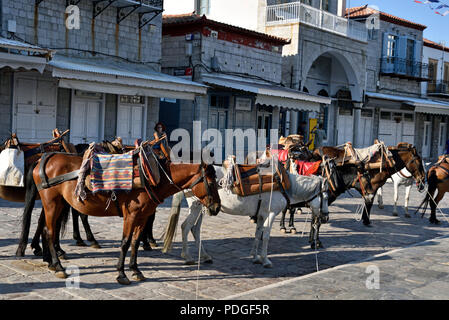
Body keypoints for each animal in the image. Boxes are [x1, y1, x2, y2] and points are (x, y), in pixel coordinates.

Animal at [32, 149, 220, 284]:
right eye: (211, 182)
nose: (217, 207)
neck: (151, 177)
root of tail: (45, 158)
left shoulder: (143, 216)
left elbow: (135, 242)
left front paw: (136, 270)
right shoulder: (131, 215)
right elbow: (125, 243)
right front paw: (121, 274)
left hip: (57, 204)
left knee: (46, 230)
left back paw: (51, 262)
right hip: (51, 204)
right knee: (50, 232)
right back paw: (58, 266)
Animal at [163, 162, 328, 268]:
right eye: (326, 197)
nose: (325, 217)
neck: (283, 185)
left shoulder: (261, 215)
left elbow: (258, 234)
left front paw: (255, 257)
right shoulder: (271, 214)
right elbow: (266, 236)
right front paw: (265, 260)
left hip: (204, 208)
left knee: (195, 229)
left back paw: (204, 256)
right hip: (196, 207)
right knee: (186, 227)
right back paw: (187, 256)